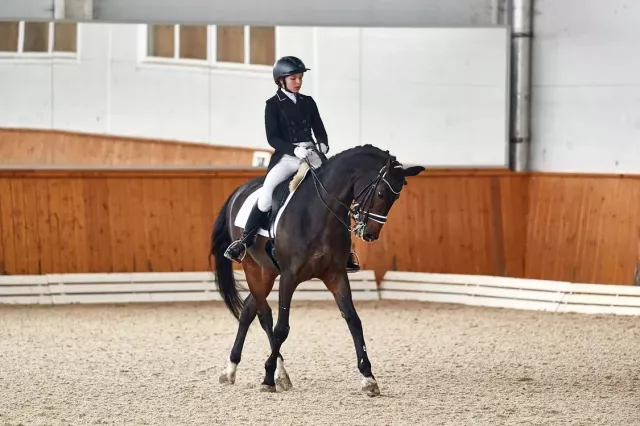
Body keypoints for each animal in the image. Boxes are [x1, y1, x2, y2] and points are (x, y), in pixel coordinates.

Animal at [209, 143, 424, 396]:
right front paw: (267, 378)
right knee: (264, 315)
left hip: (267, 271)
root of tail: (239, 191)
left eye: (395, 197)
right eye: (381, 193)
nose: (369, 233)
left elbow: (353, 320)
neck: (319, 214)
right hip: (252, 267)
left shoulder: (335, 275)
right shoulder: (289, 276)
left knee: (249, 310)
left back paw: (234, 370)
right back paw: (273, 373)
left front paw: (368, 378)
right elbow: (281, 328)